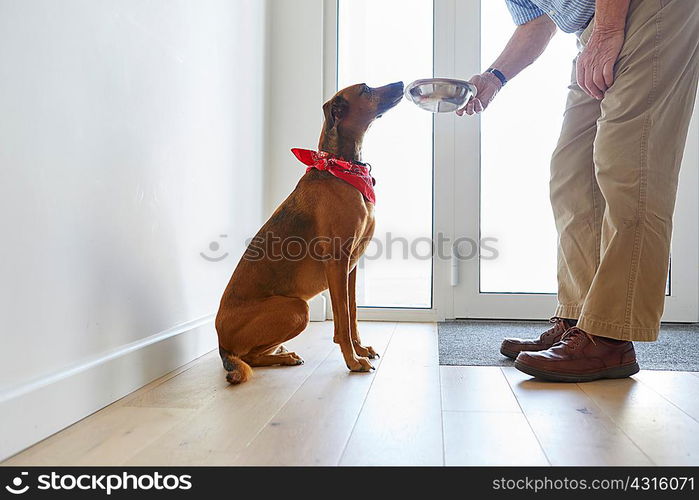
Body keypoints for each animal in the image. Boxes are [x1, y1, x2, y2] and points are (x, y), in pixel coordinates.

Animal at [215, 82, 404, 384]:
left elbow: (352, 314)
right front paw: (354, 361)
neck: (341, 167)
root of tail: (222, 345)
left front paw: (361, 349)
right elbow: (342, 322)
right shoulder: (337, 263)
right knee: (249, 358)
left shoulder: (351, 266)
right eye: (365, 89)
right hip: (296, 308)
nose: (401, 84)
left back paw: (282, 353)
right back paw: (283, 357)